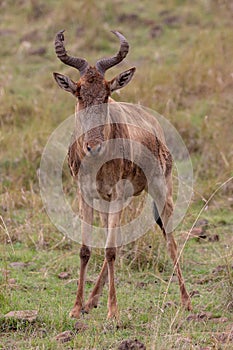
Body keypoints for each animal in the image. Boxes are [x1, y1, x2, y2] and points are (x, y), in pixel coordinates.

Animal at [53, 30, 191, 320]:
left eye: (106, 93)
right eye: (79, 93)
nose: (93, 146)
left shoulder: (117, 193)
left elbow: (110, 250)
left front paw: (113, 313)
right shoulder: (85, 195)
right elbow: (86, 250)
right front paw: (76, 307)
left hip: (160, 190)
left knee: (170, 239)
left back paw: (186, 302)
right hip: (110, 202)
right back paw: (91, 301)